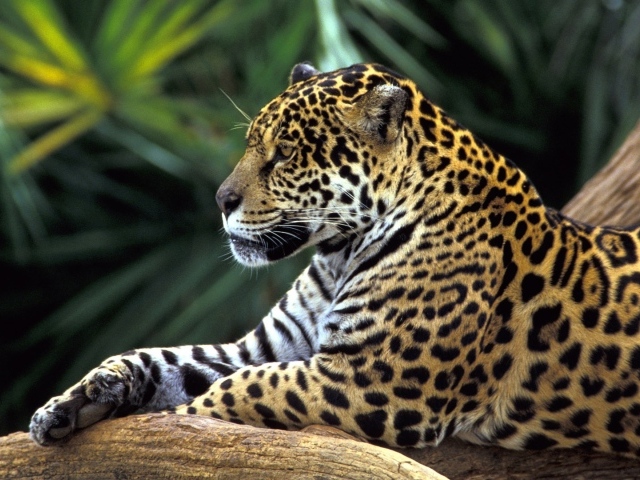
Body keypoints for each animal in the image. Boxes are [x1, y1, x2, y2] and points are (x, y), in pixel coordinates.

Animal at [30, 62, 640, 457]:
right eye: (250, 143)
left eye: (284, 154)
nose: (221, 200)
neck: (340, 252)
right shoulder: (269, 347)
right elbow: (156, 358)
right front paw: (71, 404)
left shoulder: (373, 382)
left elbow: (240, 389)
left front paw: (178, 423)